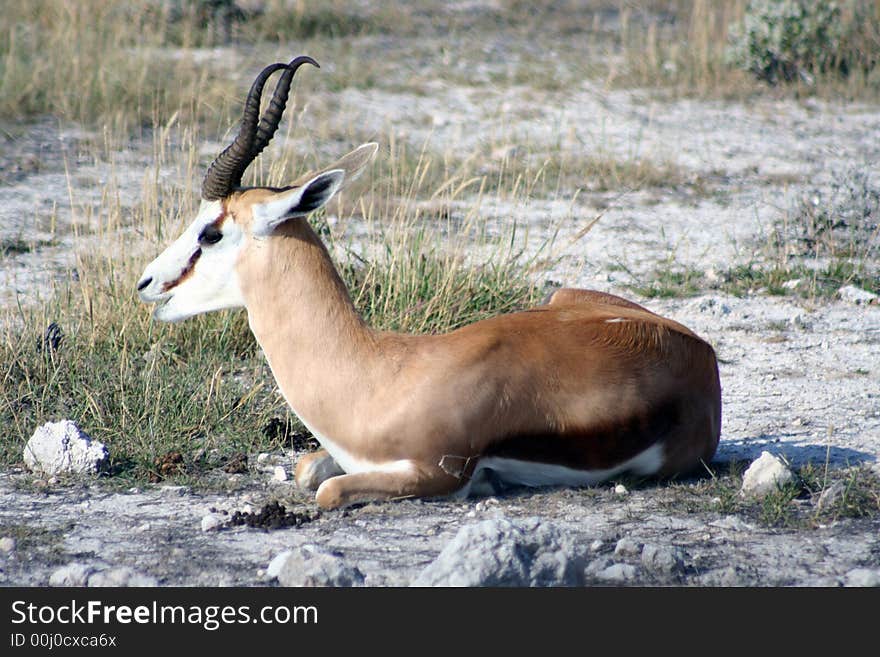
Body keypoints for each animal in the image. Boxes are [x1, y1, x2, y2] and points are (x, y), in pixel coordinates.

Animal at [139, 56, 720, 510]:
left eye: (211, 232)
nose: (147, 283)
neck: (375, 375)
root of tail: (702, 350)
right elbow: (308, 470)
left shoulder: (436, 471)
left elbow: (329, 491)